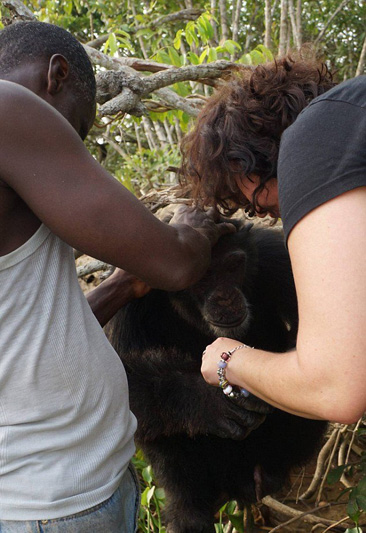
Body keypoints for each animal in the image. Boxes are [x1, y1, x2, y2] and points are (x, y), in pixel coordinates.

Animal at [107, 220, 328, 532]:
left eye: (233, 266)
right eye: (202, 277)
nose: (224, 297)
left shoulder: (279, 260)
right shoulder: (128, 308)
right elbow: (119, 375)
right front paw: (208, 401)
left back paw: (268, 475)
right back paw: (189, 511)